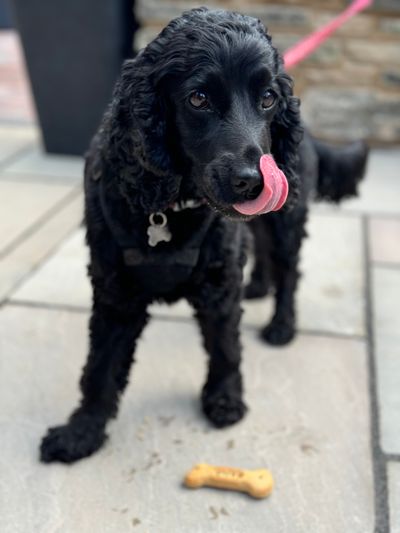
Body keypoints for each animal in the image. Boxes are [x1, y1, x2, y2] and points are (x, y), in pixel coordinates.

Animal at [39, 6, 366, 462]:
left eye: (268, 98)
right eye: (198, 98)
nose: (254, 181)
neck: (168, 207)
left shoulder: (218, 284)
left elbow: (226, 347)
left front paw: (224, 401)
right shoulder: (115, 293)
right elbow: (99, 368)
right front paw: (81, 432)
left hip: (285, 222)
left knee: (288, 271)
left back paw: (282, 324)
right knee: (261, 250)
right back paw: (257, 286)